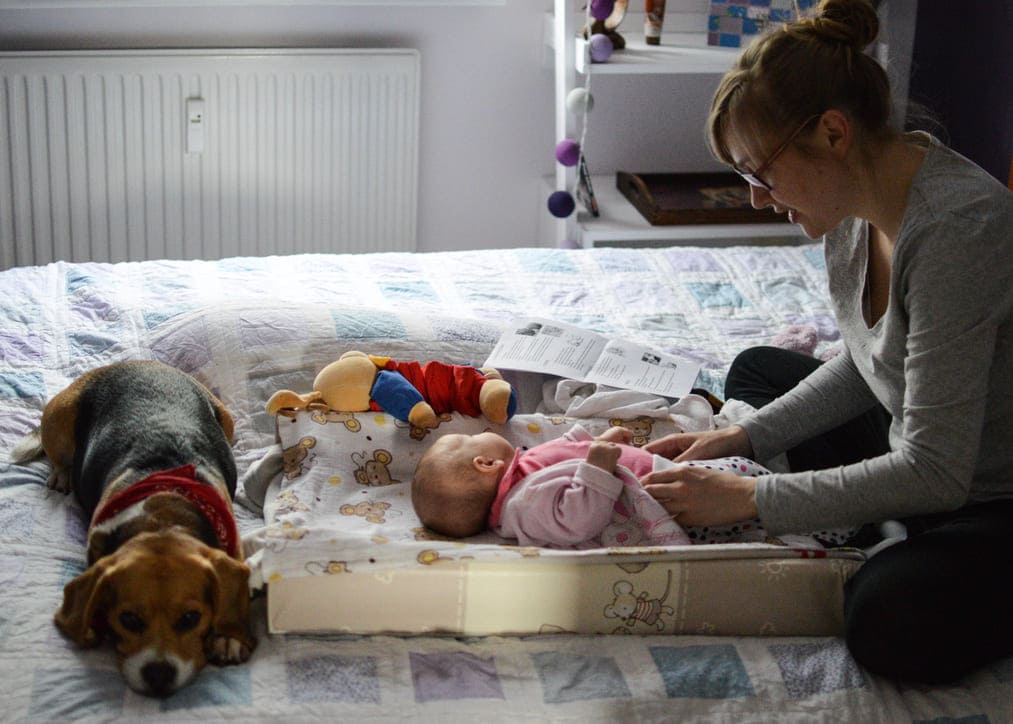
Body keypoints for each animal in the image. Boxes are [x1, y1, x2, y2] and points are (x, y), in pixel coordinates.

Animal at [10, 360, 257, 696]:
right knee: (57, 456)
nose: (159, 675)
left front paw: (228, 637)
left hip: (227, 421)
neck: (162, 516)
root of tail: (131, 363)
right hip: (58, 420)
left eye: (190, 619)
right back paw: (63, 474)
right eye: (128, 620)